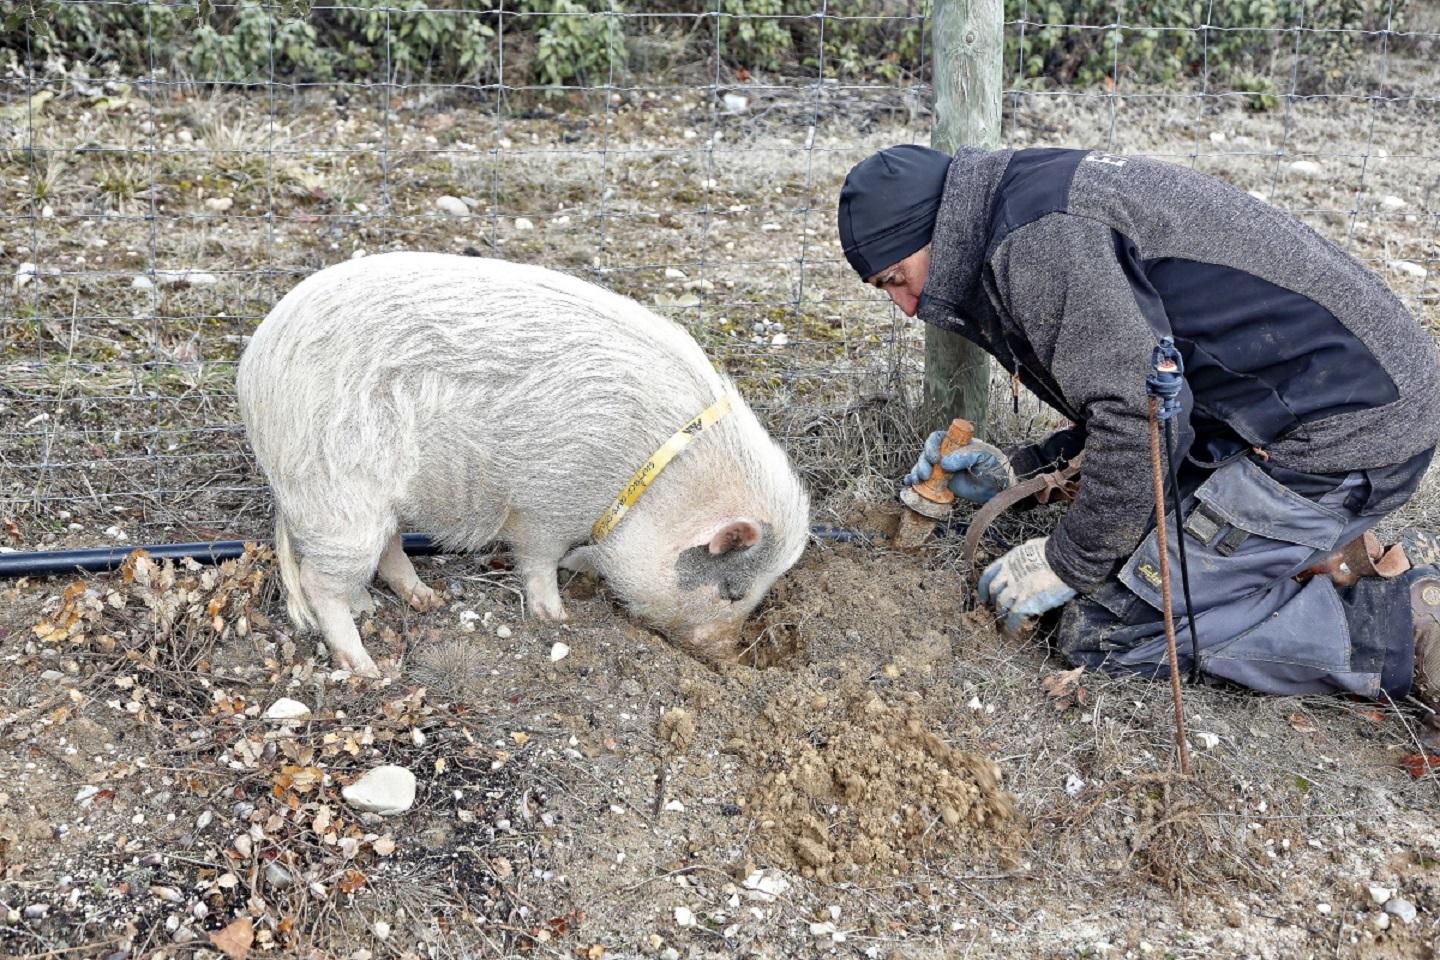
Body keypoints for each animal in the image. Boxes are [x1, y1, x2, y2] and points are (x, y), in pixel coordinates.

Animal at [241, 254, 817, 676]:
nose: (730, 659)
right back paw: (365, 666)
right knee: (320, 581)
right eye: (733, 591)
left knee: (385, 549)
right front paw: (556, 617)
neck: (649, 481)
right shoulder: (548, 502)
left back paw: (425, 601)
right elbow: (538, 559)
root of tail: (255, 376)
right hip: (337, 492)